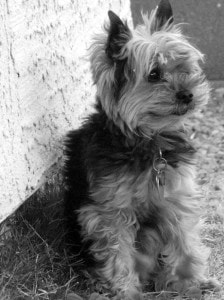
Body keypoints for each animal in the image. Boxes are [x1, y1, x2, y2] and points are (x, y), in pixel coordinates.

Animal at [64, 1, 220, 298]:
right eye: (154, 74)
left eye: (184, 67)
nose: (188, 94)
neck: (149, 142)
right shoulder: (110, 212)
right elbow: (118, 253)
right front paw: (125, 290)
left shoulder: (175, 196)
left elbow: (185, 240)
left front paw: (192, 281)